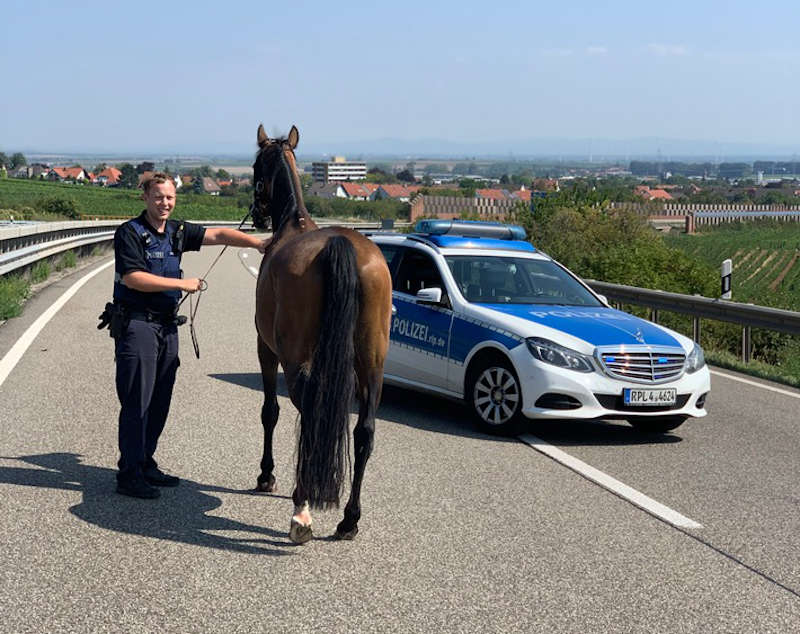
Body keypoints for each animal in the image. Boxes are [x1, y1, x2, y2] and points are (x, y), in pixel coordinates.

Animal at [247, 124, 390, 544]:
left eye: (255, 166)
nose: (257, 216)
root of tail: (341, 246)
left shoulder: (266, 349)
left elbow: (270, 411)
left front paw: (267, 475)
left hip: (297, 361)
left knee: (309, 414)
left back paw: (302, 506)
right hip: (372, 365)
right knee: (364, 431)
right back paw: (349, 519)